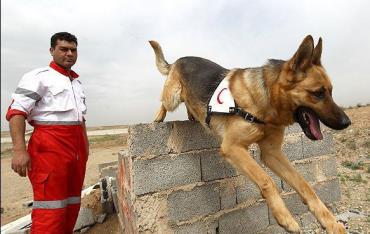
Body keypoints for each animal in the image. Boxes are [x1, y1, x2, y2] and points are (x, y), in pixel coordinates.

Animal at [150, 35, 350, 233]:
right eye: (318, 93)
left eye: (330, 92)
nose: (347, 122)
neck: (265, 100)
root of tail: (179, 60)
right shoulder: (233, 148)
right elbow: (266, 180)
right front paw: (285, 218)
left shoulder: (272, 153)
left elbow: (304, 184)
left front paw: (331, 223)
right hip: (173, 97)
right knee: (164, 102)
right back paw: (158, 117)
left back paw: (192, 116)